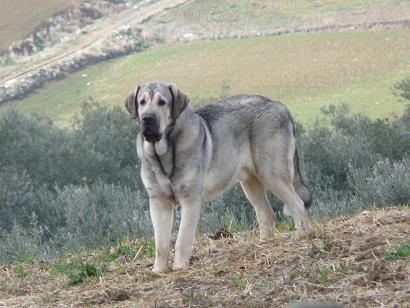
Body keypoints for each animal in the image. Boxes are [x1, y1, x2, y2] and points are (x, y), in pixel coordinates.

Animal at [125, 81, 310, 272]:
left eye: (162, 102)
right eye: (142, 102)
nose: (147, 118)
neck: (164, 155)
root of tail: (279, 105)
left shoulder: (190, 200)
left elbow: (182, 238)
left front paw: (180, 266)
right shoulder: (158, 202)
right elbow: (160, 243)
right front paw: (159, 270)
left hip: (272, 173)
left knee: (297, 204)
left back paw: (302, 236)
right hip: (251, 183)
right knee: (266, 214)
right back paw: (264, 244)